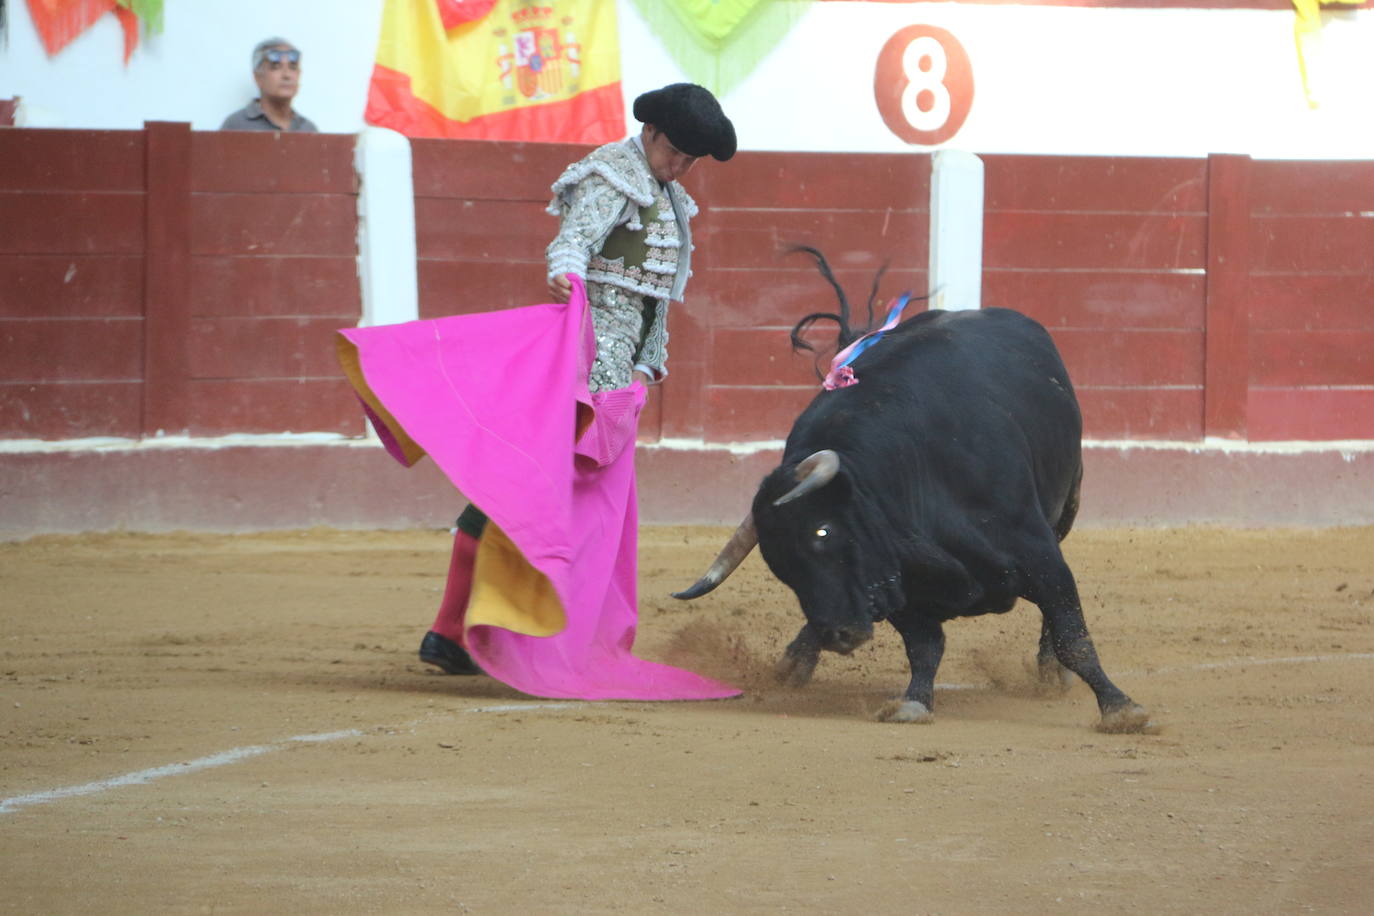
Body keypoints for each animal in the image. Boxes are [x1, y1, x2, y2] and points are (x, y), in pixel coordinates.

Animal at [673, 271, 1148, 730]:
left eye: (823, 531)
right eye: (780, 565)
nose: (838, 635)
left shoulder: (1040, 555)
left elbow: (1074, 639)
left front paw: (1120, 707)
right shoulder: (894, 581)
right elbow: (925, 646)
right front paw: (914, 702)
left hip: (1066, 510)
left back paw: (1051, 674)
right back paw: (796, 661)